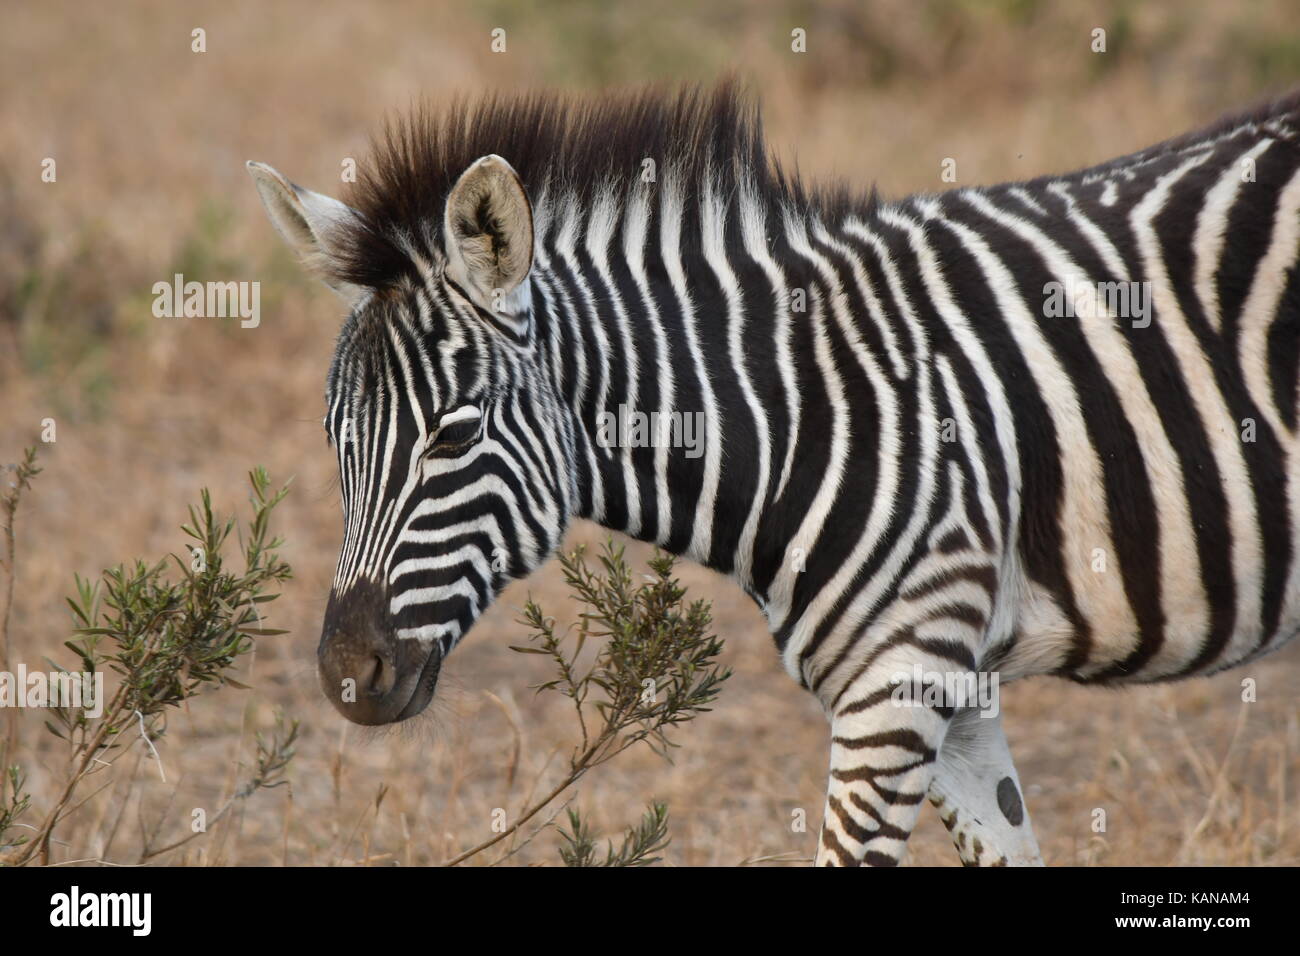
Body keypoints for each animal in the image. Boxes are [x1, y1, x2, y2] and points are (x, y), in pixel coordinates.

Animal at [245, 83, 1300, 868]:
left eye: (453, 436)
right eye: (338, 442)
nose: (347, 679)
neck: (803, 407)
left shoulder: (896, 681)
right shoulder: (955, 689)